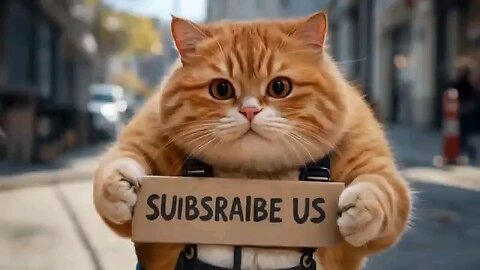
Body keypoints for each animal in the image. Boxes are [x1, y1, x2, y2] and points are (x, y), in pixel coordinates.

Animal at [94, 11, 412, 270]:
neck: (256, 178)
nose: (249, 111)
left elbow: (384, 192)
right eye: (221, 89)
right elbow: (119, 163)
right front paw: (119, 187)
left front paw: (361, 209)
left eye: (279, 87)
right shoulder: (146, 138)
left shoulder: (372, 161)